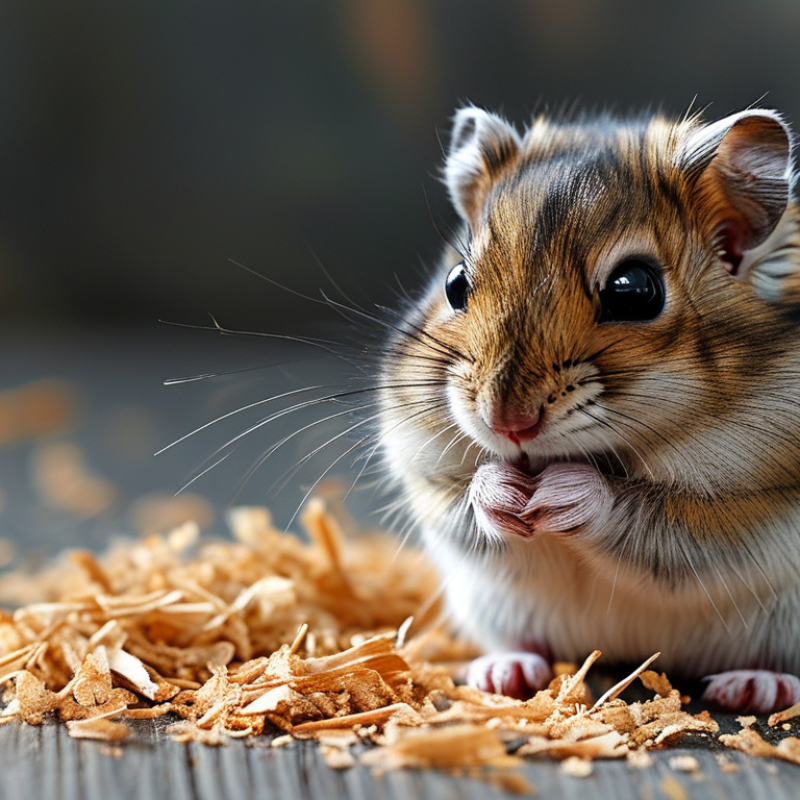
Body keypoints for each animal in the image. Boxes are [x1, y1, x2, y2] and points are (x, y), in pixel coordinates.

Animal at [378, 103, 800, 714]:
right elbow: (466, 494)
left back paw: (755, 685)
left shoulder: (742, 515)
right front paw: (505, 492)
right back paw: (504, 671)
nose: (508, 424)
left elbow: (651, 515)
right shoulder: (425, 469)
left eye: (634, 290)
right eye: (456, 284)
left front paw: (561, 493)